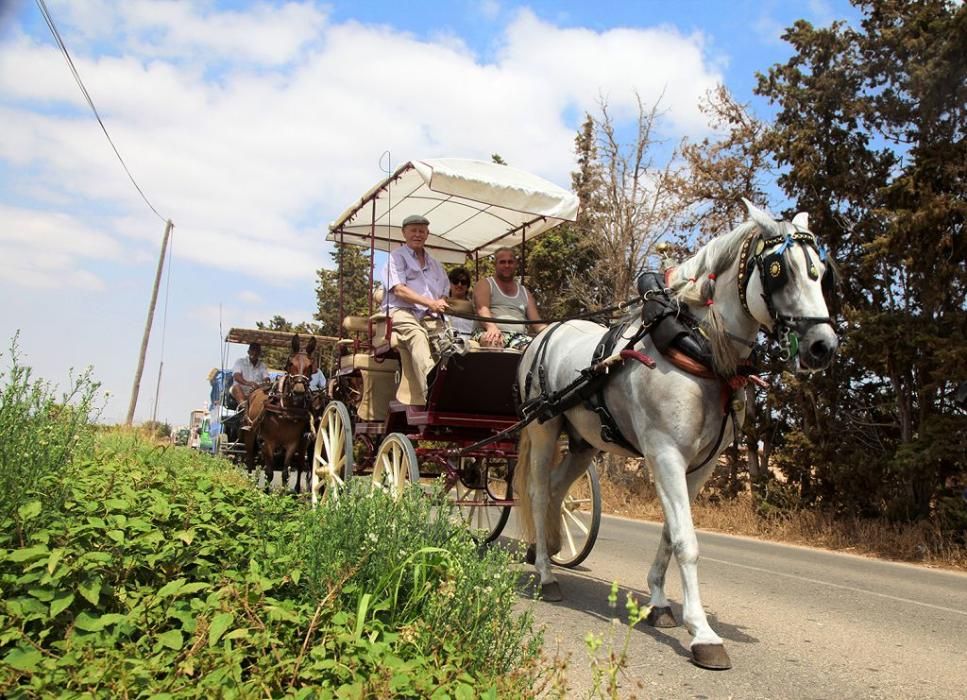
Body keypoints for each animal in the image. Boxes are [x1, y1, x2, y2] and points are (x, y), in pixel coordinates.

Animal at [242, 334, 318, 490]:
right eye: (291, 363)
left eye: (310, 366)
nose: (299, 392)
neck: (286, 410)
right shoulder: (268, 442)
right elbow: (270, 472)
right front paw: (265, 492)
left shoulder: (292, 444)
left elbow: (285, 473)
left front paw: (283, 492)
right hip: (250, 433)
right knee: (250, 460)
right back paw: (251, 482)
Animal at [516, 200, 840, 668]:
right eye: (780, 270)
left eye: (822, 272)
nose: (822, 346)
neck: (698, 347)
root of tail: (543, 334)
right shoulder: (665, 453)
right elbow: (687, 540)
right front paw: (703, 633)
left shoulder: (700, 466)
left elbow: (671, 533)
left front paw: (659, 604)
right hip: (543, 428)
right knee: (541, 492)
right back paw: (544, 573)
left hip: (583, 444)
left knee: (559, 491)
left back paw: (554, 550)